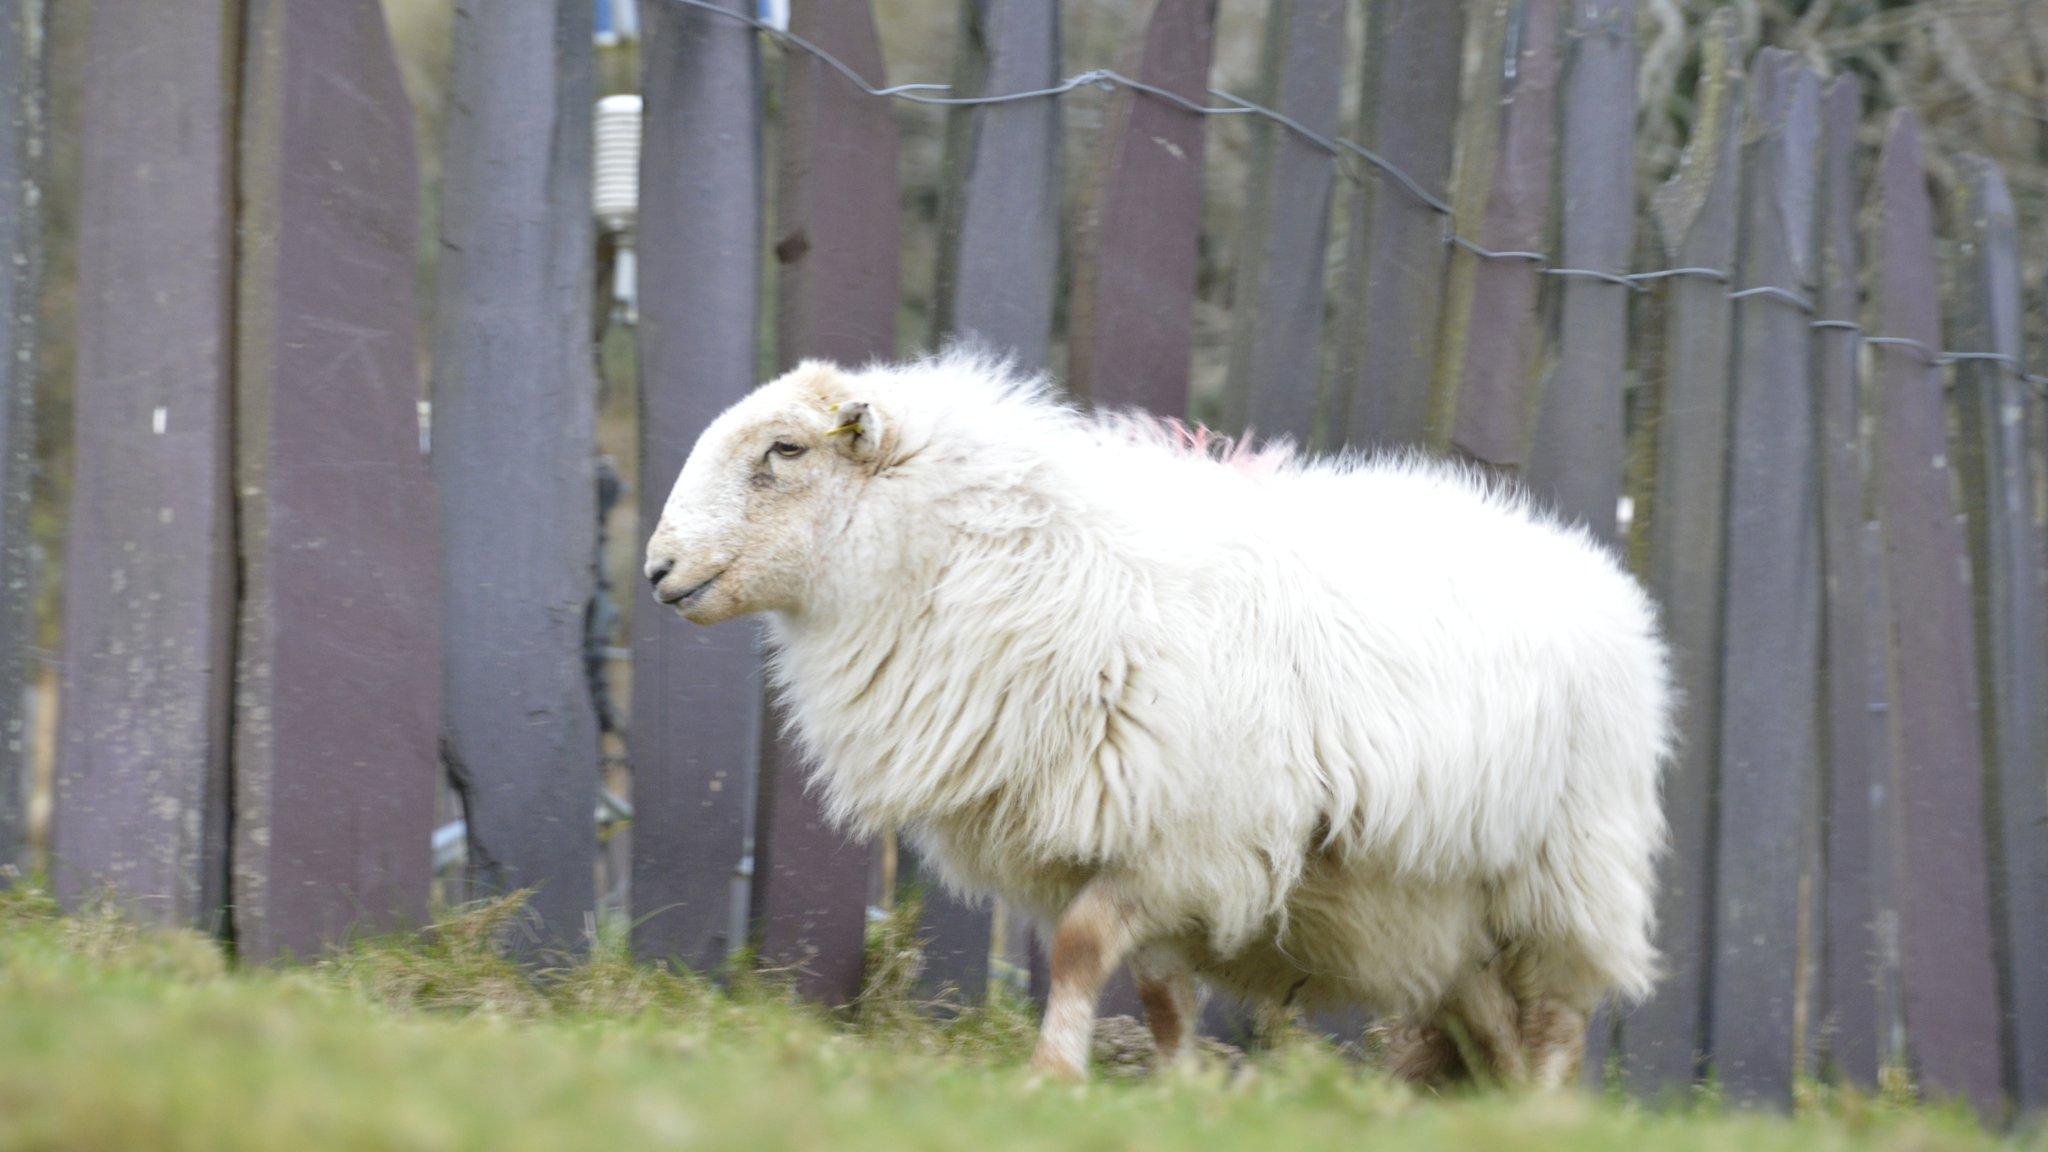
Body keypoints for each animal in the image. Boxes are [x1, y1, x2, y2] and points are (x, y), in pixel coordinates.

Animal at [647, 352, 1671, 1082]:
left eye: (785, 451)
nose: (658, 570)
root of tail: (1597, 568)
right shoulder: (1139, 850)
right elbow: (1158, 990)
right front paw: (1179, 1093)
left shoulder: (1185, 834)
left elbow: (1078, 951)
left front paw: (1053, 1077)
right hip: (1447, 916)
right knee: (1493, 1020)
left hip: (1569, 873)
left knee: (1559, 1020)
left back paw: (1540, 1111)